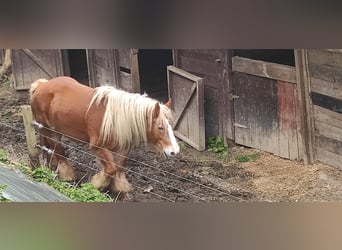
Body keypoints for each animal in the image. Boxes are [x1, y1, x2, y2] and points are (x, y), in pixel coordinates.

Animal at [30, 77, 179, 194]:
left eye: (171, 126)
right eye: (160, 127)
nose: (174, 151)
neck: (117, 118)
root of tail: (41, 85)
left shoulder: (122, 149)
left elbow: (119, 167)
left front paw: (119, 187)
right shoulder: (99, 148)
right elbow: (111, 169)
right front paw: (96, 184)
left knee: (51, 149)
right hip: (49, 130)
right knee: (58, 151)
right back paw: (68, 176)